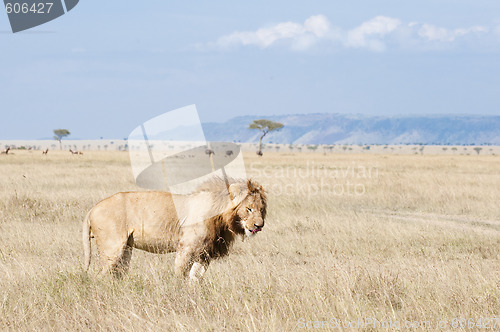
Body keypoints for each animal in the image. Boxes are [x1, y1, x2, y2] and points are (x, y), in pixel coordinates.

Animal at [83, 178, 266, 282]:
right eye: (249, 209)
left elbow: (196, 278)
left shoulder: (205, 252)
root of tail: (92, 208)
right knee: (100, 276)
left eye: (261, 209)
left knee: (118, 273)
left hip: (126, 249)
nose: (259, 226)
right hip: (112, 247)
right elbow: (181, 273)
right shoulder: (186, 246)